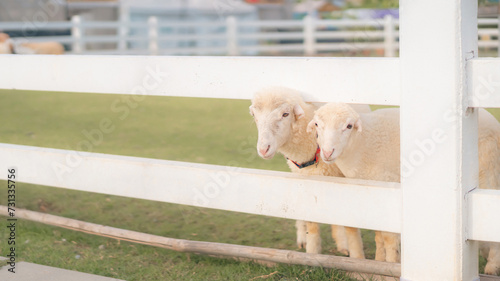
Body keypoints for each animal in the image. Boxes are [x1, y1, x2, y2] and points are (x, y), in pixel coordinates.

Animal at [249, 86, 370, 258]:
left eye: (285, 114)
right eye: (254, 115)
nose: (263, 149)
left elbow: (348, 222)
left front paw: (353, 252)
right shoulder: (307, 180)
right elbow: (311, 220)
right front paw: (312, 252)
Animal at [308, 101, 500, 268]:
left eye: (348, 126)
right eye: (317, 124)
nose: (327, 152)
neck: (362, 143)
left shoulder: (387, 186)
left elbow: (388, 237)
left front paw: (391, 263)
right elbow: (378, 234)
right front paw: (379, 261)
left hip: (487, 170)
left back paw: (491, 266)